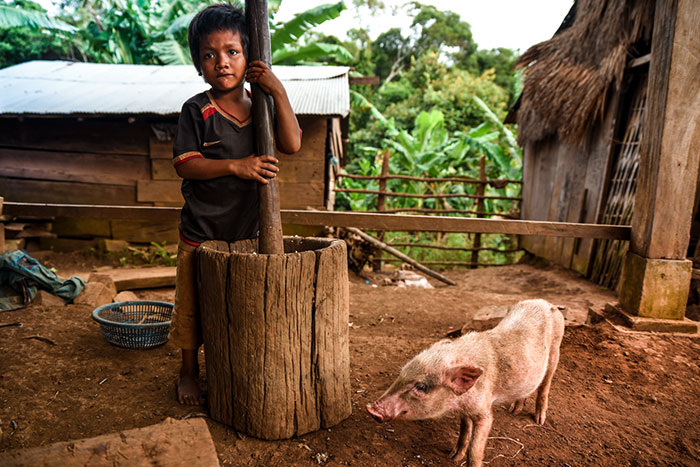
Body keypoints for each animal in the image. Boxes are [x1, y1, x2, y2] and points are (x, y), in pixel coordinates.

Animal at [366, 302, 564, 466]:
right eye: (401, 374)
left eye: (421, 387)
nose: (371, 408)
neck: (460, 401)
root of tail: (547, 303)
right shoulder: (465, 409)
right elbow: (464, 430)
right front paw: (453, 457)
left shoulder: (484, 410)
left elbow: (475, 449)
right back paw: (513, 411)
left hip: (556, 350)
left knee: (545, 386)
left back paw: (539, 420)